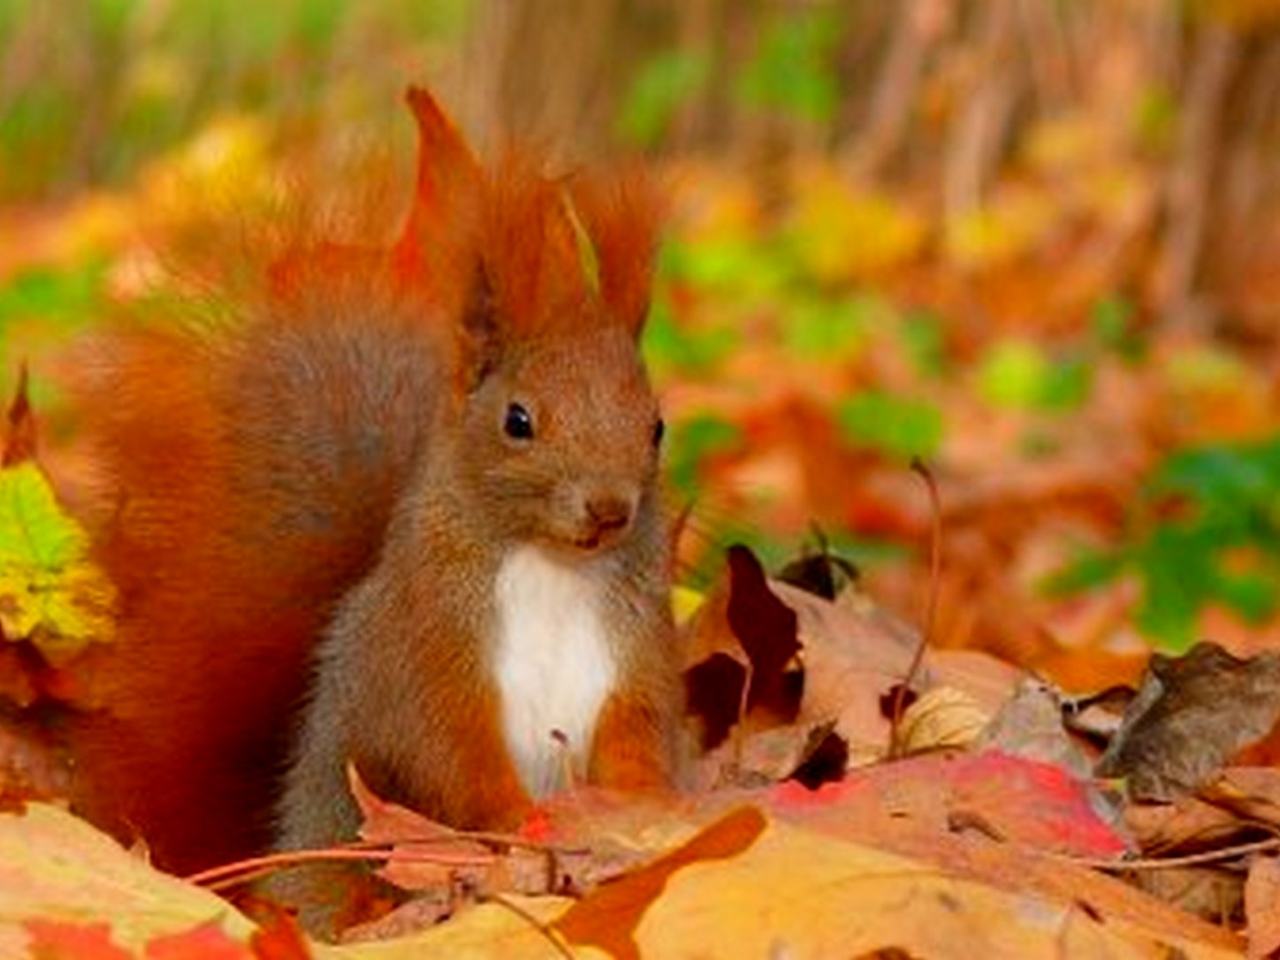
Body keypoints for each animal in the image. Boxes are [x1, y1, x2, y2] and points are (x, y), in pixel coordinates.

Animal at [70, 88, 680, 926]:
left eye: (656, 426)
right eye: (518, 420)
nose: (609, 509)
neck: (552, 566)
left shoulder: (635, 652)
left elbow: (638, 738)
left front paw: (643, 812)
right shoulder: (430, 654)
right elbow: (452, 756)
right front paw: (525, 822)